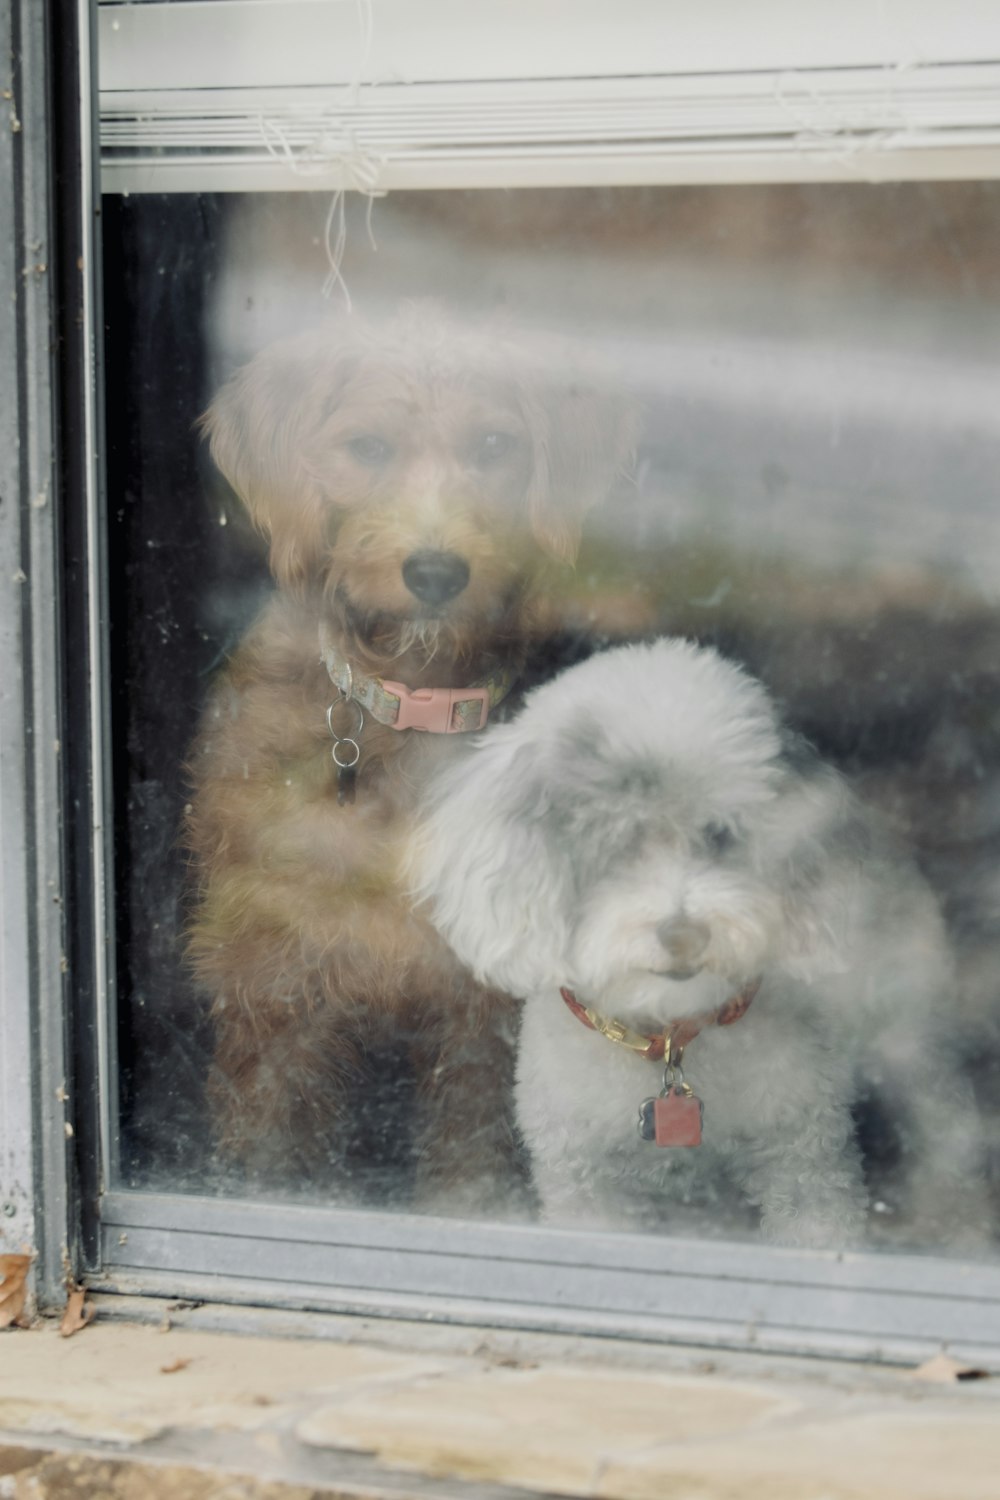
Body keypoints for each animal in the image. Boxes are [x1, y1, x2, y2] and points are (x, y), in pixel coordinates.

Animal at [183, 301, 638, 1206]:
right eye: (367, 447)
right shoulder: (275, 989)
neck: (412, 713)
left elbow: (470, 1164)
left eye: (494, 446)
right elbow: (267, 1153)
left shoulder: (479, 1017)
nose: (435, 572)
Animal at [410, 639, 989, 1248]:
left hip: (909, 1039)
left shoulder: (805, 1157)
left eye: (720, 834)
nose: (684, 932)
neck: (669, 1037)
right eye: (615, 845)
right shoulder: (583, 1176)